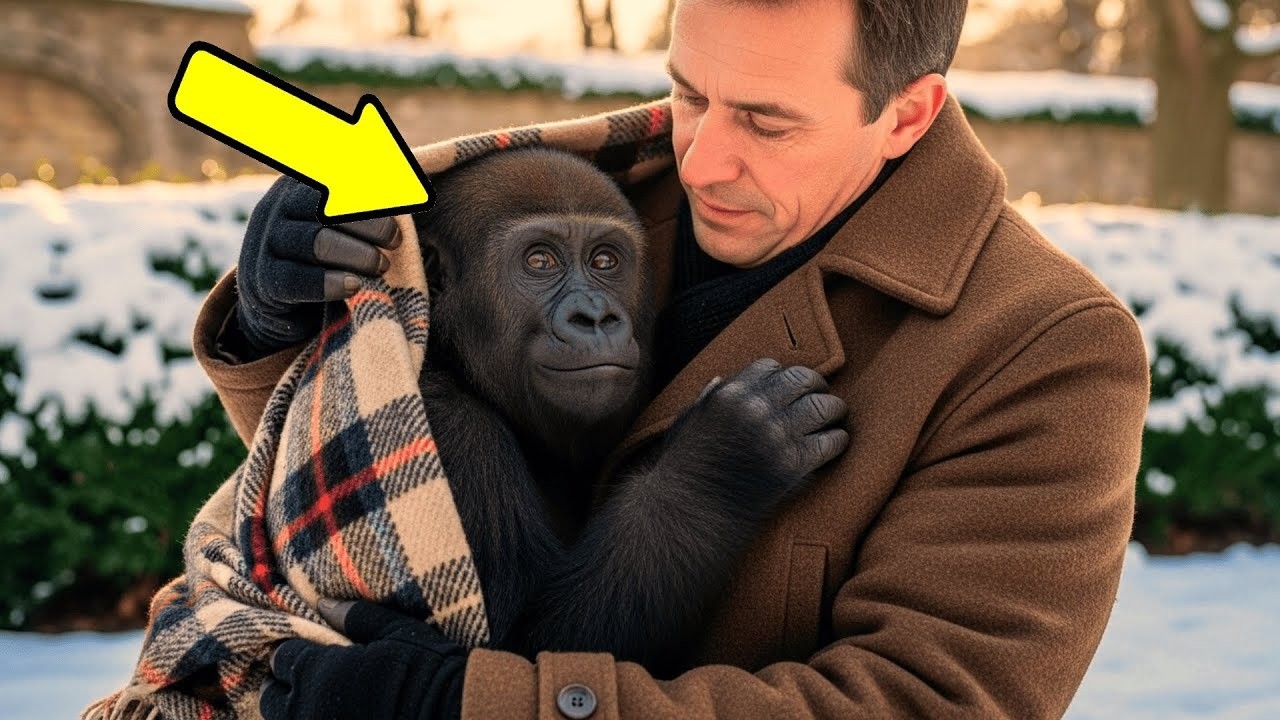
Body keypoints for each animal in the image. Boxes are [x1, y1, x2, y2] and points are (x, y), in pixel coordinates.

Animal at [412, 147, 849, 677]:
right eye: (539, 260)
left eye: (604, 260)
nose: (596, 317)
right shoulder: (452, 430)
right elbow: (524, 648)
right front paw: (726, 458)